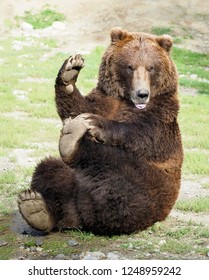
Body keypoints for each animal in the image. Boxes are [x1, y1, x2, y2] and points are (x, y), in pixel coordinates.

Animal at [17, 27, 183, 235]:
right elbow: (77, 107)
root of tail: (85, 214)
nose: (142, 94)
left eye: (151, 67)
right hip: (72, 183)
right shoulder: (105, 99)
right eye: (130, 66)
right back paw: (37, 209)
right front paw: (70, 70)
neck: (126, 100)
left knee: (118, 178)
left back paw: (72, 141)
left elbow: (142, 135)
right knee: (49, 170)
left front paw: (93, 122)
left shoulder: (161, 115)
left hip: (153, 186)